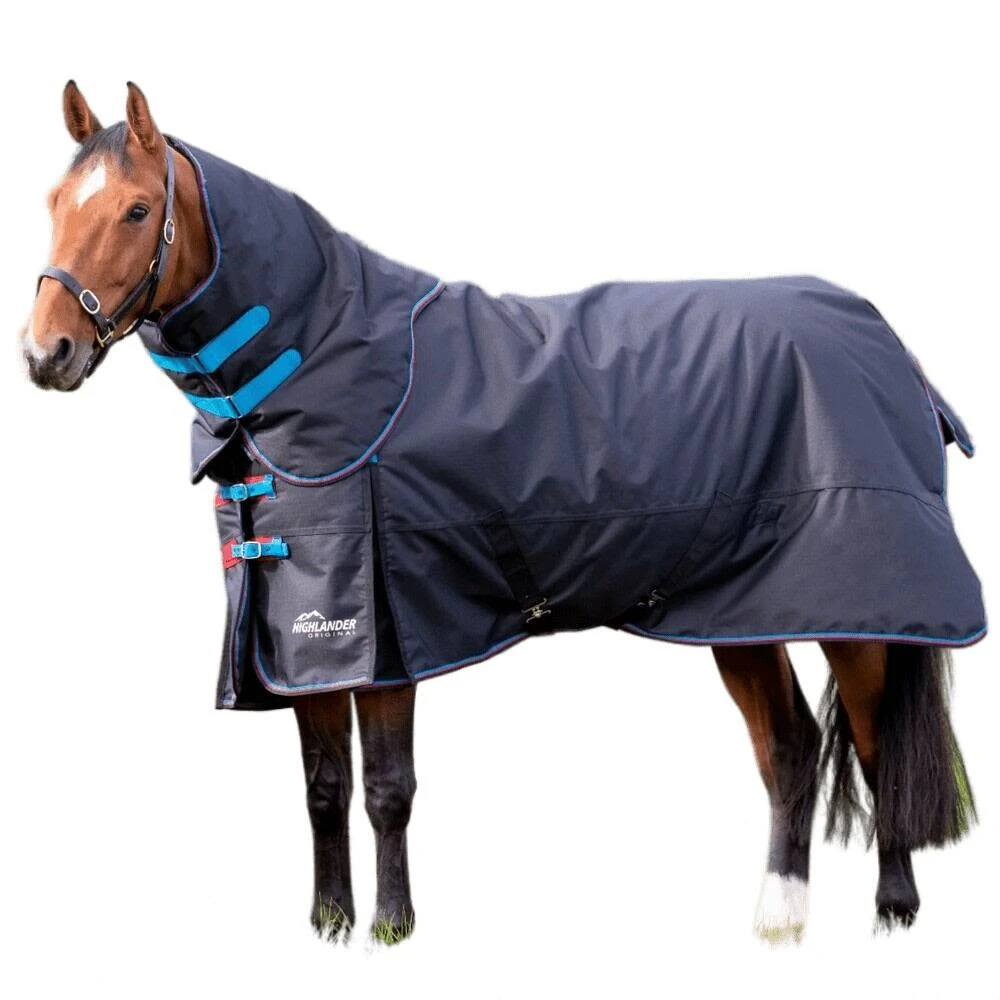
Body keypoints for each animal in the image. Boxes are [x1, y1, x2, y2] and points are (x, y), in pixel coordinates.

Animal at [22, 80, 983, 946]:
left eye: (138, 210)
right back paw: (780, 919)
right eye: (55, 203)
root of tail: (888, 342)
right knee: (787, 751)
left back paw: (894, 911)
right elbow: (324, 787)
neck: (317, 359)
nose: (45, 353)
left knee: (876, 745)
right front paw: (329, 925)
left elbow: (388, 789)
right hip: (741, 615)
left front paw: (393, 929)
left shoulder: (385, 632)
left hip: (852, 611)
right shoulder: (296, 642)